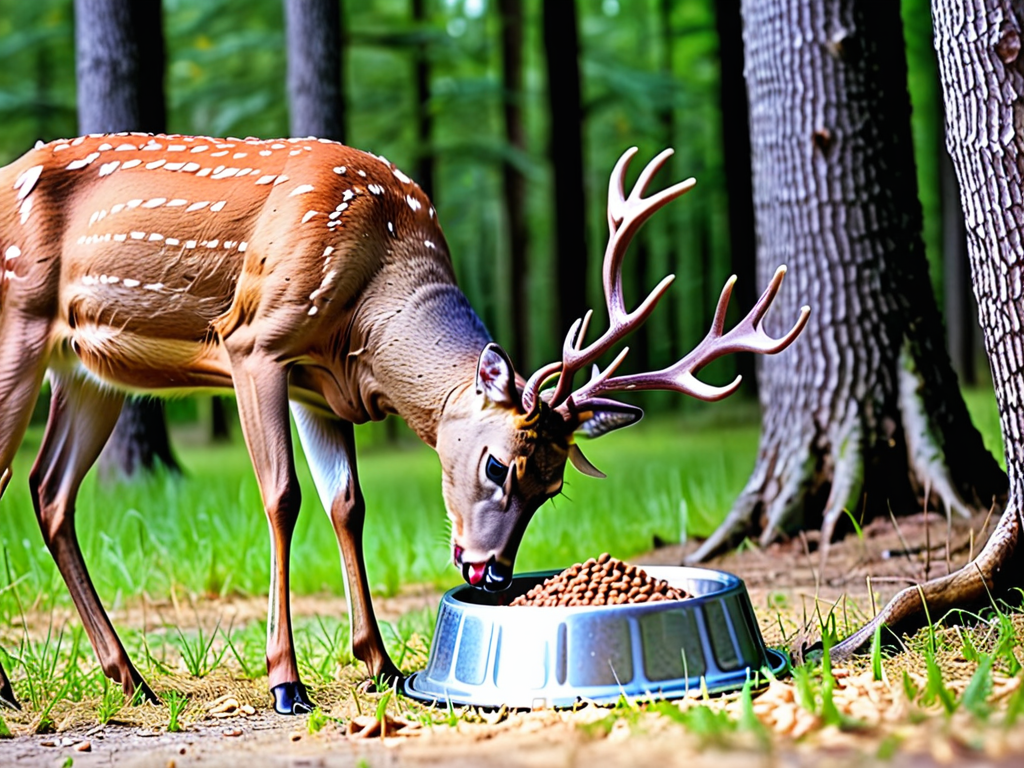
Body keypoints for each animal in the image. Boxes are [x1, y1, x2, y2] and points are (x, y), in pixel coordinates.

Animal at [0, 134, 808, 714]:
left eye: (552, 488)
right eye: (496, 463)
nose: (492, 571)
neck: (367, 318)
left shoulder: (320, 390)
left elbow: (347, 505)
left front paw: (381, 665)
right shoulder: (254, 340)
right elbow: (283, 497)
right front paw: (287, 683)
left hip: (89, 371)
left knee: (49, 491)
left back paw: (132, 680)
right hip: (19, 323)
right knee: (15, 478)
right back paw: (17, 690)